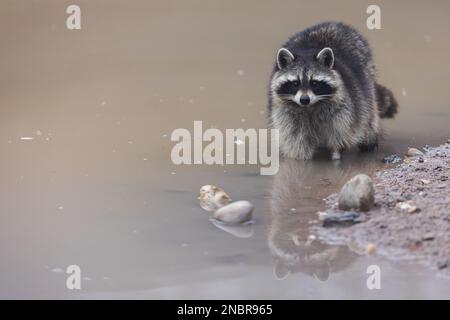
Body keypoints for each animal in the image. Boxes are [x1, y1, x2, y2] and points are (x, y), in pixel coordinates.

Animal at [268, 21, 398, 160]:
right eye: (295, 83)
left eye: (314, 83)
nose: (304, 99)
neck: (310, 107)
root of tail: (335, 24)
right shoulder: (286, 114)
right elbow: (296, 139)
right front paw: (302, 159)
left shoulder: (343, 109)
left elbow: (340, 134)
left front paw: (336, 155)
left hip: (367, 79)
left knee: (368, 112)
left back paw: (369, 138)